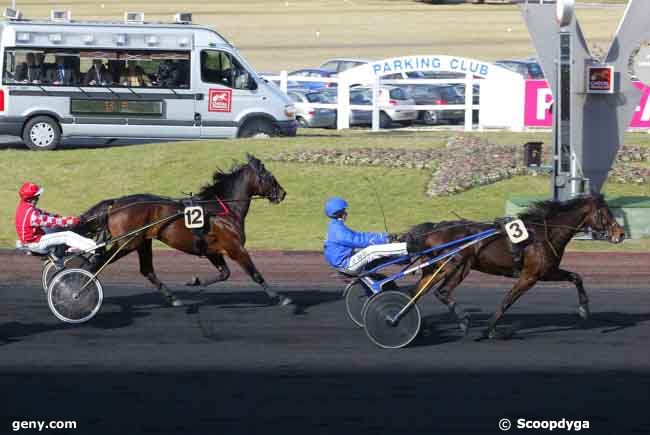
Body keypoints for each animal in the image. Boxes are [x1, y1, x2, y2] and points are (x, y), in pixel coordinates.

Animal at [74, 155, 290, 308]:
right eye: (270, 177)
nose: (282, 193)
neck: (222, 208)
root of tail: (116, 204)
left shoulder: (212, 250)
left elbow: (225, 273)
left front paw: (195, 281)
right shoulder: (235, 247)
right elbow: (255, 274)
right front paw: (279, 297)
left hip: (142, 242)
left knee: (147, 270)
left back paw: (173, 298)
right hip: (127, 243)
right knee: (97, 265)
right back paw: (78, 291)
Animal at [400, 195, 624, 340]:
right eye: (606, 213)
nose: (620, 234)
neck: (544, 234)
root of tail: (434, 229)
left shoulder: (546, 272)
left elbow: (576, 277)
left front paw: (584, 310)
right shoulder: (530, 276)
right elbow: (507, 301)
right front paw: (491, 330)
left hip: (438, 269)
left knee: (416, 293)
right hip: (457, 266)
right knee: (441, 291)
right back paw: (462, 320)